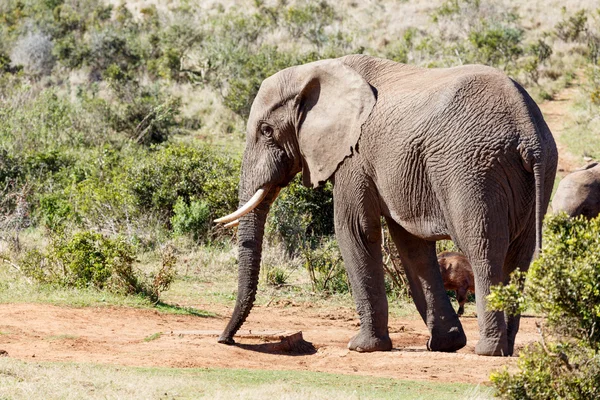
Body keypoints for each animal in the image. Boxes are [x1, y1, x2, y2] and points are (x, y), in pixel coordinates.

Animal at [214, 54, 556, 356]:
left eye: (266, 131)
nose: (225, 339)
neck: (315, 70)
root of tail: (528, 133)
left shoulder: (354, 156)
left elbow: (355, 230)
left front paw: (362, 347)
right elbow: (411, 244)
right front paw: (445, 345)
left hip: (473, 170)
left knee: (483, 249)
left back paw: (489, 351)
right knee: (518, 257)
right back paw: (505, 348)